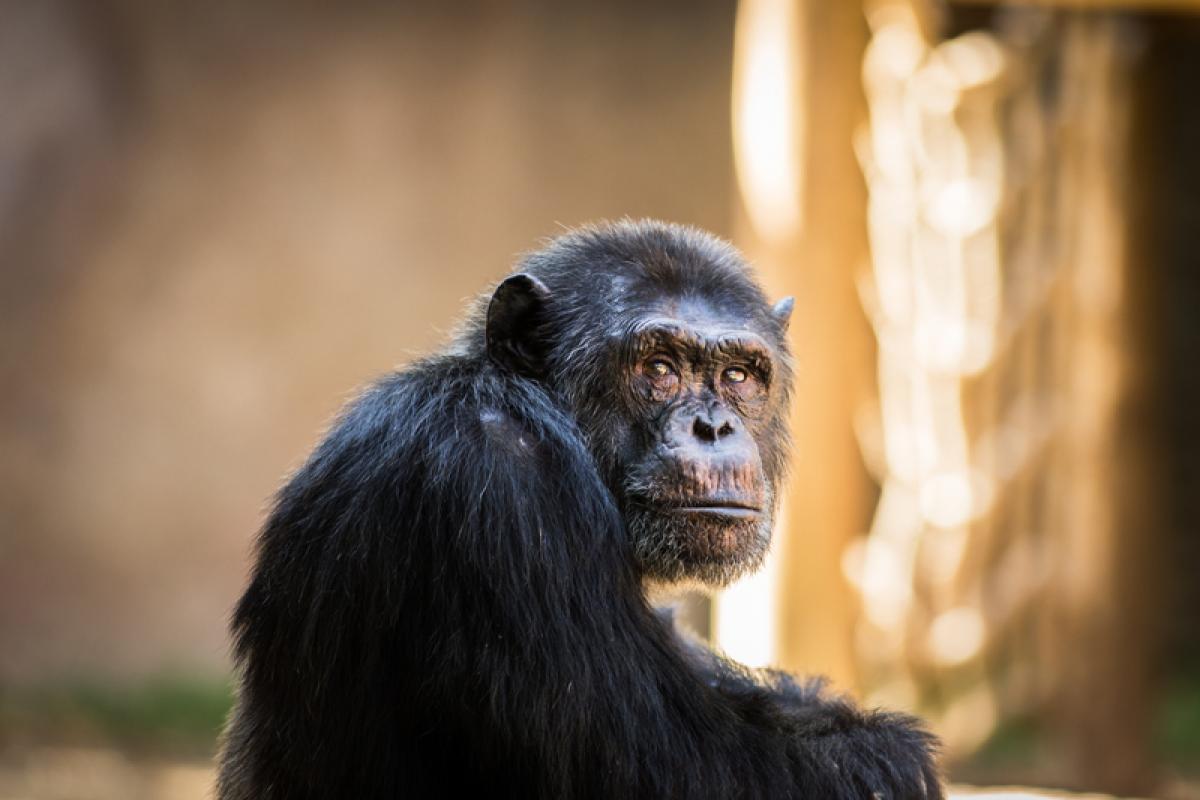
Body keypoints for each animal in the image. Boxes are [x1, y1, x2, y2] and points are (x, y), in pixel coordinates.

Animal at [218, 220, 945, 800]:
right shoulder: (505, 488)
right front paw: (896, 755)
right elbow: (684, 768)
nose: (714, 426)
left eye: (739, 375)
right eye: (659, 367)